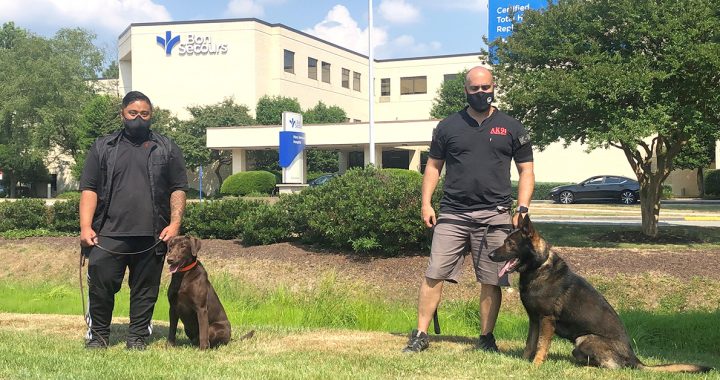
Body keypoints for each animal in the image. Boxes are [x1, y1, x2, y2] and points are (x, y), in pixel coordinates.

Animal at [486, 215, 712, 372]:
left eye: (510, 244)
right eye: (505, 241)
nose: (490, 255)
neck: (539, 266)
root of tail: (634, 358)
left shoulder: (547, 320)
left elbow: (541, 346)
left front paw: (536, 365)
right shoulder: (534, 320)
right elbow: (530, 343)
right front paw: (524, 362)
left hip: (584, 339)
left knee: (614, 368)